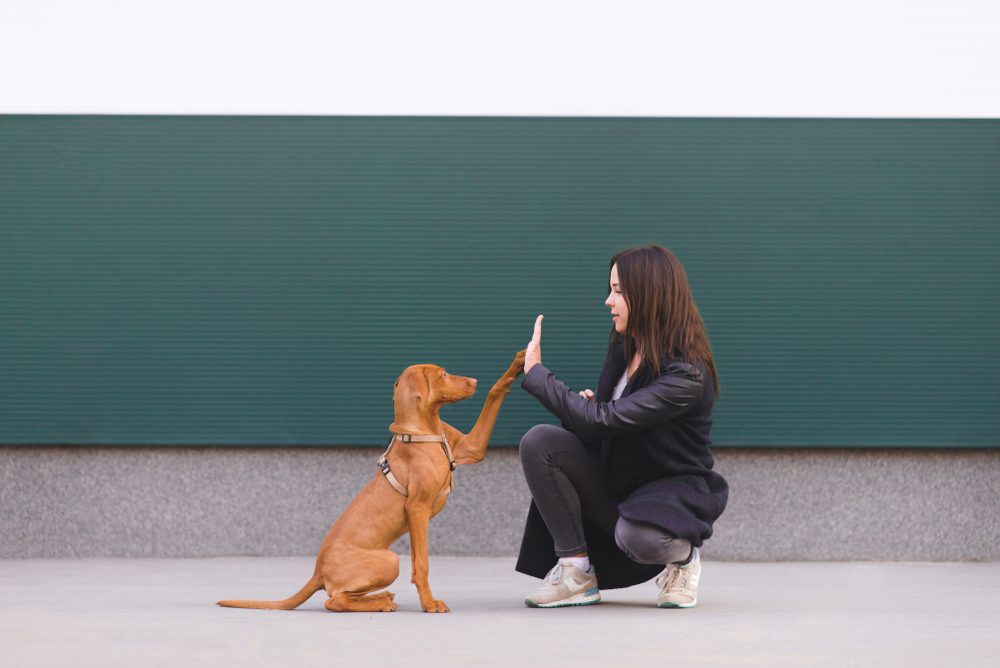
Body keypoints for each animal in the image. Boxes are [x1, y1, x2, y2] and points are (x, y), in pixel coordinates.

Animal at [216, 352, 528, 612]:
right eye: (442, 374)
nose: (474, 381)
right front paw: (429, 604)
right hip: (388, 560)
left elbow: (495, 393)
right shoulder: (417, 508)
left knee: (341, 596)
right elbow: (422, 564)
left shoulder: (471, 448)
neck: (422, 431)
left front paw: (520, 361)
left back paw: (380, 597)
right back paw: (378, 603)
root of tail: (317, 572)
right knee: (334, 600)